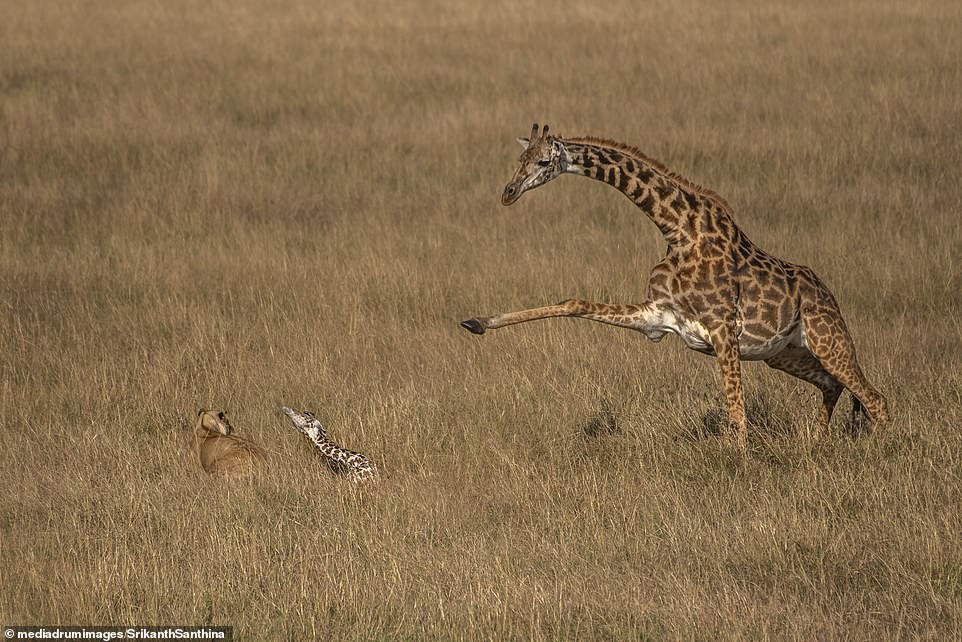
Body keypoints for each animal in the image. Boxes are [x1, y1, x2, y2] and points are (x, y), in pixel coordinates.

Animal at [461, 123, 890, 449]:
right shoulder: (659, 317)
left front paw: (740, 464)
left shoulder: (722, 331)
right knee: (834, 386)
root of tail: (827, 293)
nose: (508, 194)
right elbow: (574, 302)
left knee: (876, 399)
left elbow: (737, 414)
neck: (677, 230)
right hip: (783, 353)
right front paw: (478, 322)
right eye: (519, 160)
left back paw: (879, 451)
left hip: (827, 339)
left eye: (544, 161)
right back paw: (814, 443)